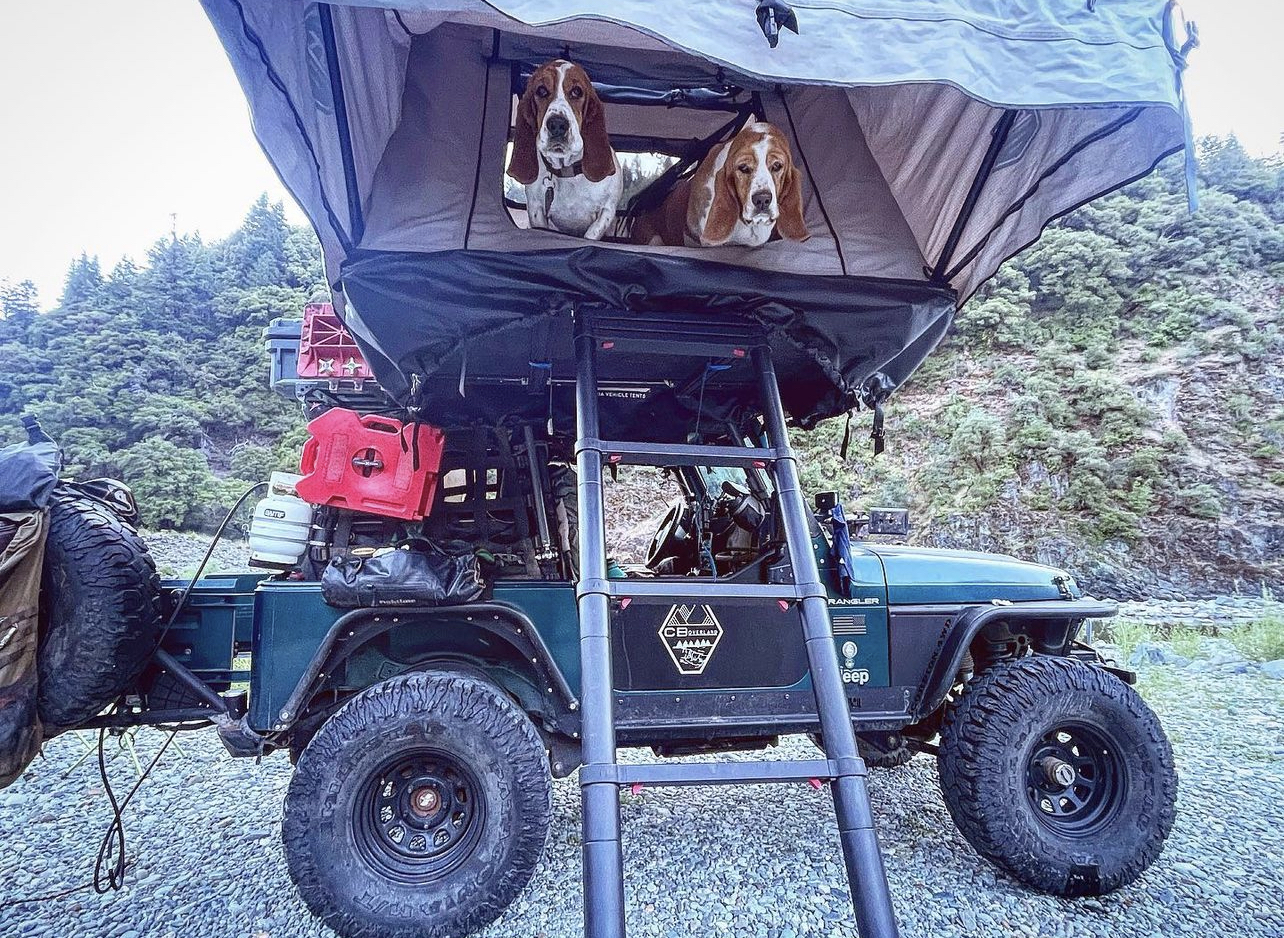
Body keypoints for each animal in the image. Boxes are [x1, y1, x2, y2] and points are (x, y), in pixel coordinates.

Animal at [505, 59, 621, 239]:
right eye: (541, 90)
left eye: (576, 91)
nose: (557, 124)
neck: (567, 171)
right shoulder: (537, 210)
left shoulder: (606, 211)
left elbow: (592, 232)